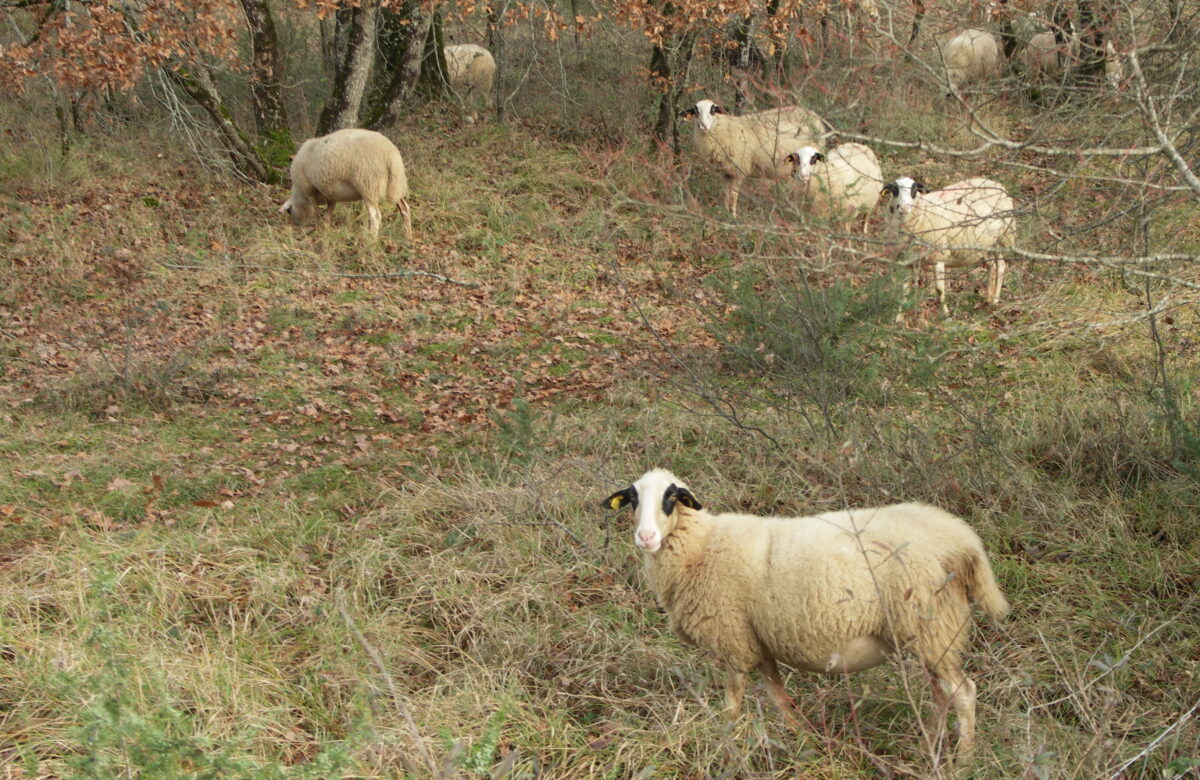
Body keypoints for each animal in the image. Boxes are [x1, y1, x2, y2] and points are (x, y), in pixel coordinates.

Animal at [278, 127, 415, 240]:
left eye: (289, 211)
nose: (297, 225)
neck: (299, 194)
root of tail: (391, 156)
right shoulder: (331, 196)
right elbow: (327, 216)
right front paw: (326, 232)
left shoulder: (309, 190)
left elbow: (317, 214)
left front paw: (319, 230)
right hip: (396, 183)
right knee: (405, 208)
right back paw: (408, 237)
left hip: (368, 185)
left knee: (375, 216)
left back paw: (371, 240)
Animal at [604, 468, 1008, 753]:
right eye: (632, 499)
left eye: (672, 497)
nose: (646, 537)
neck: (702, 547)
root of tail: (964, 541)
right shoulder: (758, 643)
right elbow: (780, 699)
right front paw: (802, 741)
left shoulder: (734, 641)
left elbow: (732, 706)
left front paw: (725, 745)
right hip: (930, 632)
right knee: (942, 695)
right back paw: (927, 750)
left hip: (930, 625)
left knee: (964, 693)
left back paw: (962, 759)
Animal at [681, 99, 830, 218]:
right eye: (695, 111)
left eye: (713, 110)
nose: (703, 126)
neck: (723, 129)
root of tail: (816, 117)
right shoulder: (725, 173)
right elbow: (725, 194)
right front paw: (724, 213)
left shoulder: (738, 170)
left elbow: (733, 196)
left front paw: (733, 216)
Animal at [883, 175, 1012, 312]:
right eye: (895, 190)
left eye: (914, 189)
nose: (904, 208)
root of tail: (996, 184)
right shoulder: (909, 261)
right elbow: (904, 290)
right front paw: (899, 315)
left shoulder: (938, 257)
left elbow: (939, 289)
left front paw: (945, 313)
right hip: (985, 244)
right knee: (991, 267)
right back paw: (988, 299)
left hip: (1001, 239)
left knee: (1001, 266)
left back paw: (995, 300)